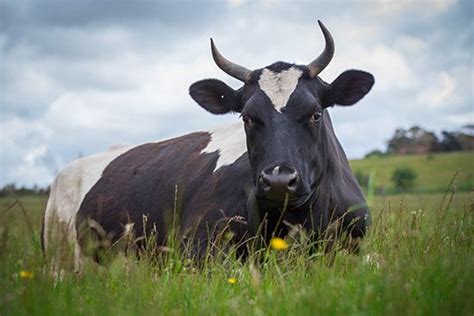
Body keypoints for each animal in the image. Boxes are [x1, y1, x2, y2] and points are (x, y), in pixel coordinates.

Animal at [41, 20, 374, 272]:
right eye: (247, 117)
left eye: (316, 113)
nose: (279, 180)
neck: (298, 220)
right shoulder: (197, 247)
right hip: (61, 258)